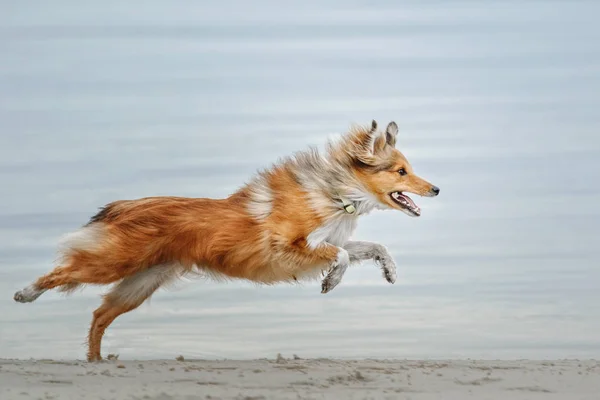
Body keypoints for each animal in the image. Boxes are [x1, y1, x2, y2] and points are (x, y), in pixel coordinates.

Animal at [11, 120, 438, 360]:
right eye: (401, 172)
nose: (435, 189)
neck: (334, 192)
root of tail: (123, 207)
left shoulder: (321, 244)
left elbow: (369, 247)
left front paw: (389, 270)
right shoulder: (289, 247)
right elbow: (342, 256)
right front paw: (332, 281)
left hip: (140, 284)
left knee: (99, 316)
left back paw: (96, 360)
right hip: (112, 264)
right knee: (61, 274)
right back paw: (25, 294)